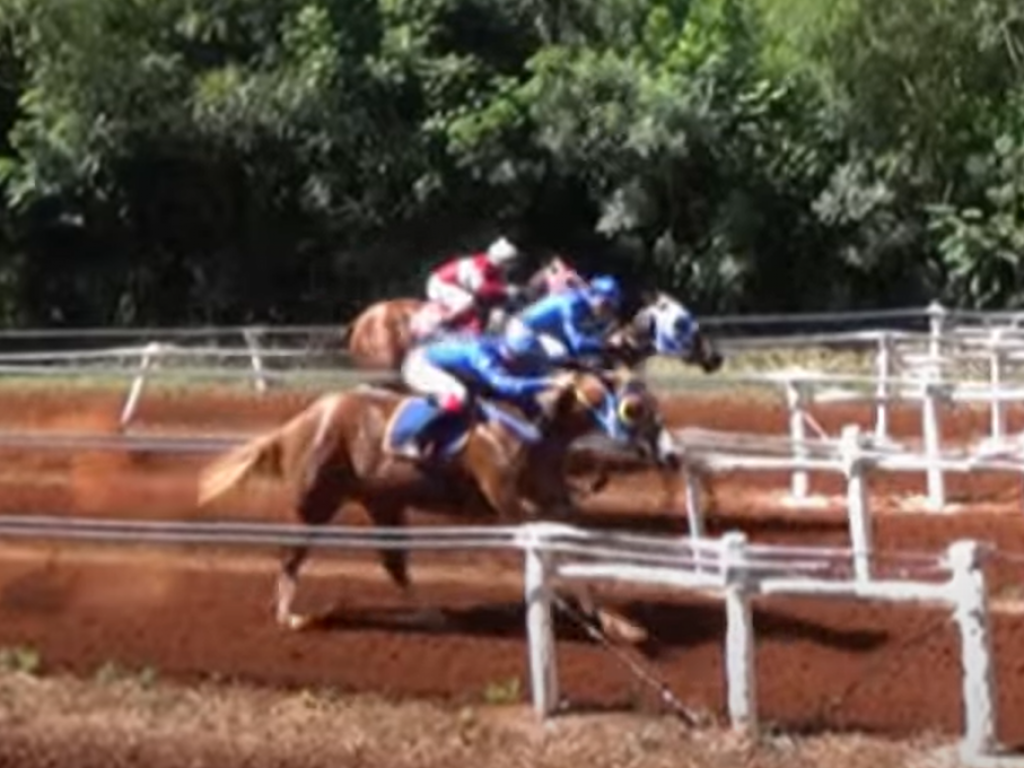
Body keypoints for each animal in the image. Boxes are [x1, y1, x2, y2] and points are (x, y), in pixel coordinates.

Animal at [199, 372, 679, 643]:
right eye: (635, 408)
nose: (672, 454)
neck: (531, 424)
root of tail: (302, 420)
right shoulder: (511, 503)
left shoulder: (553, 500)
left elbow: (576, 548)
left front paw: (621, 624)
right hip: (316, 500)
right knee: (291, 555)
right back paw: (289, 616)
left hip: (383, 502)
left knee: (393, 563)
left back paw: (432, 614)